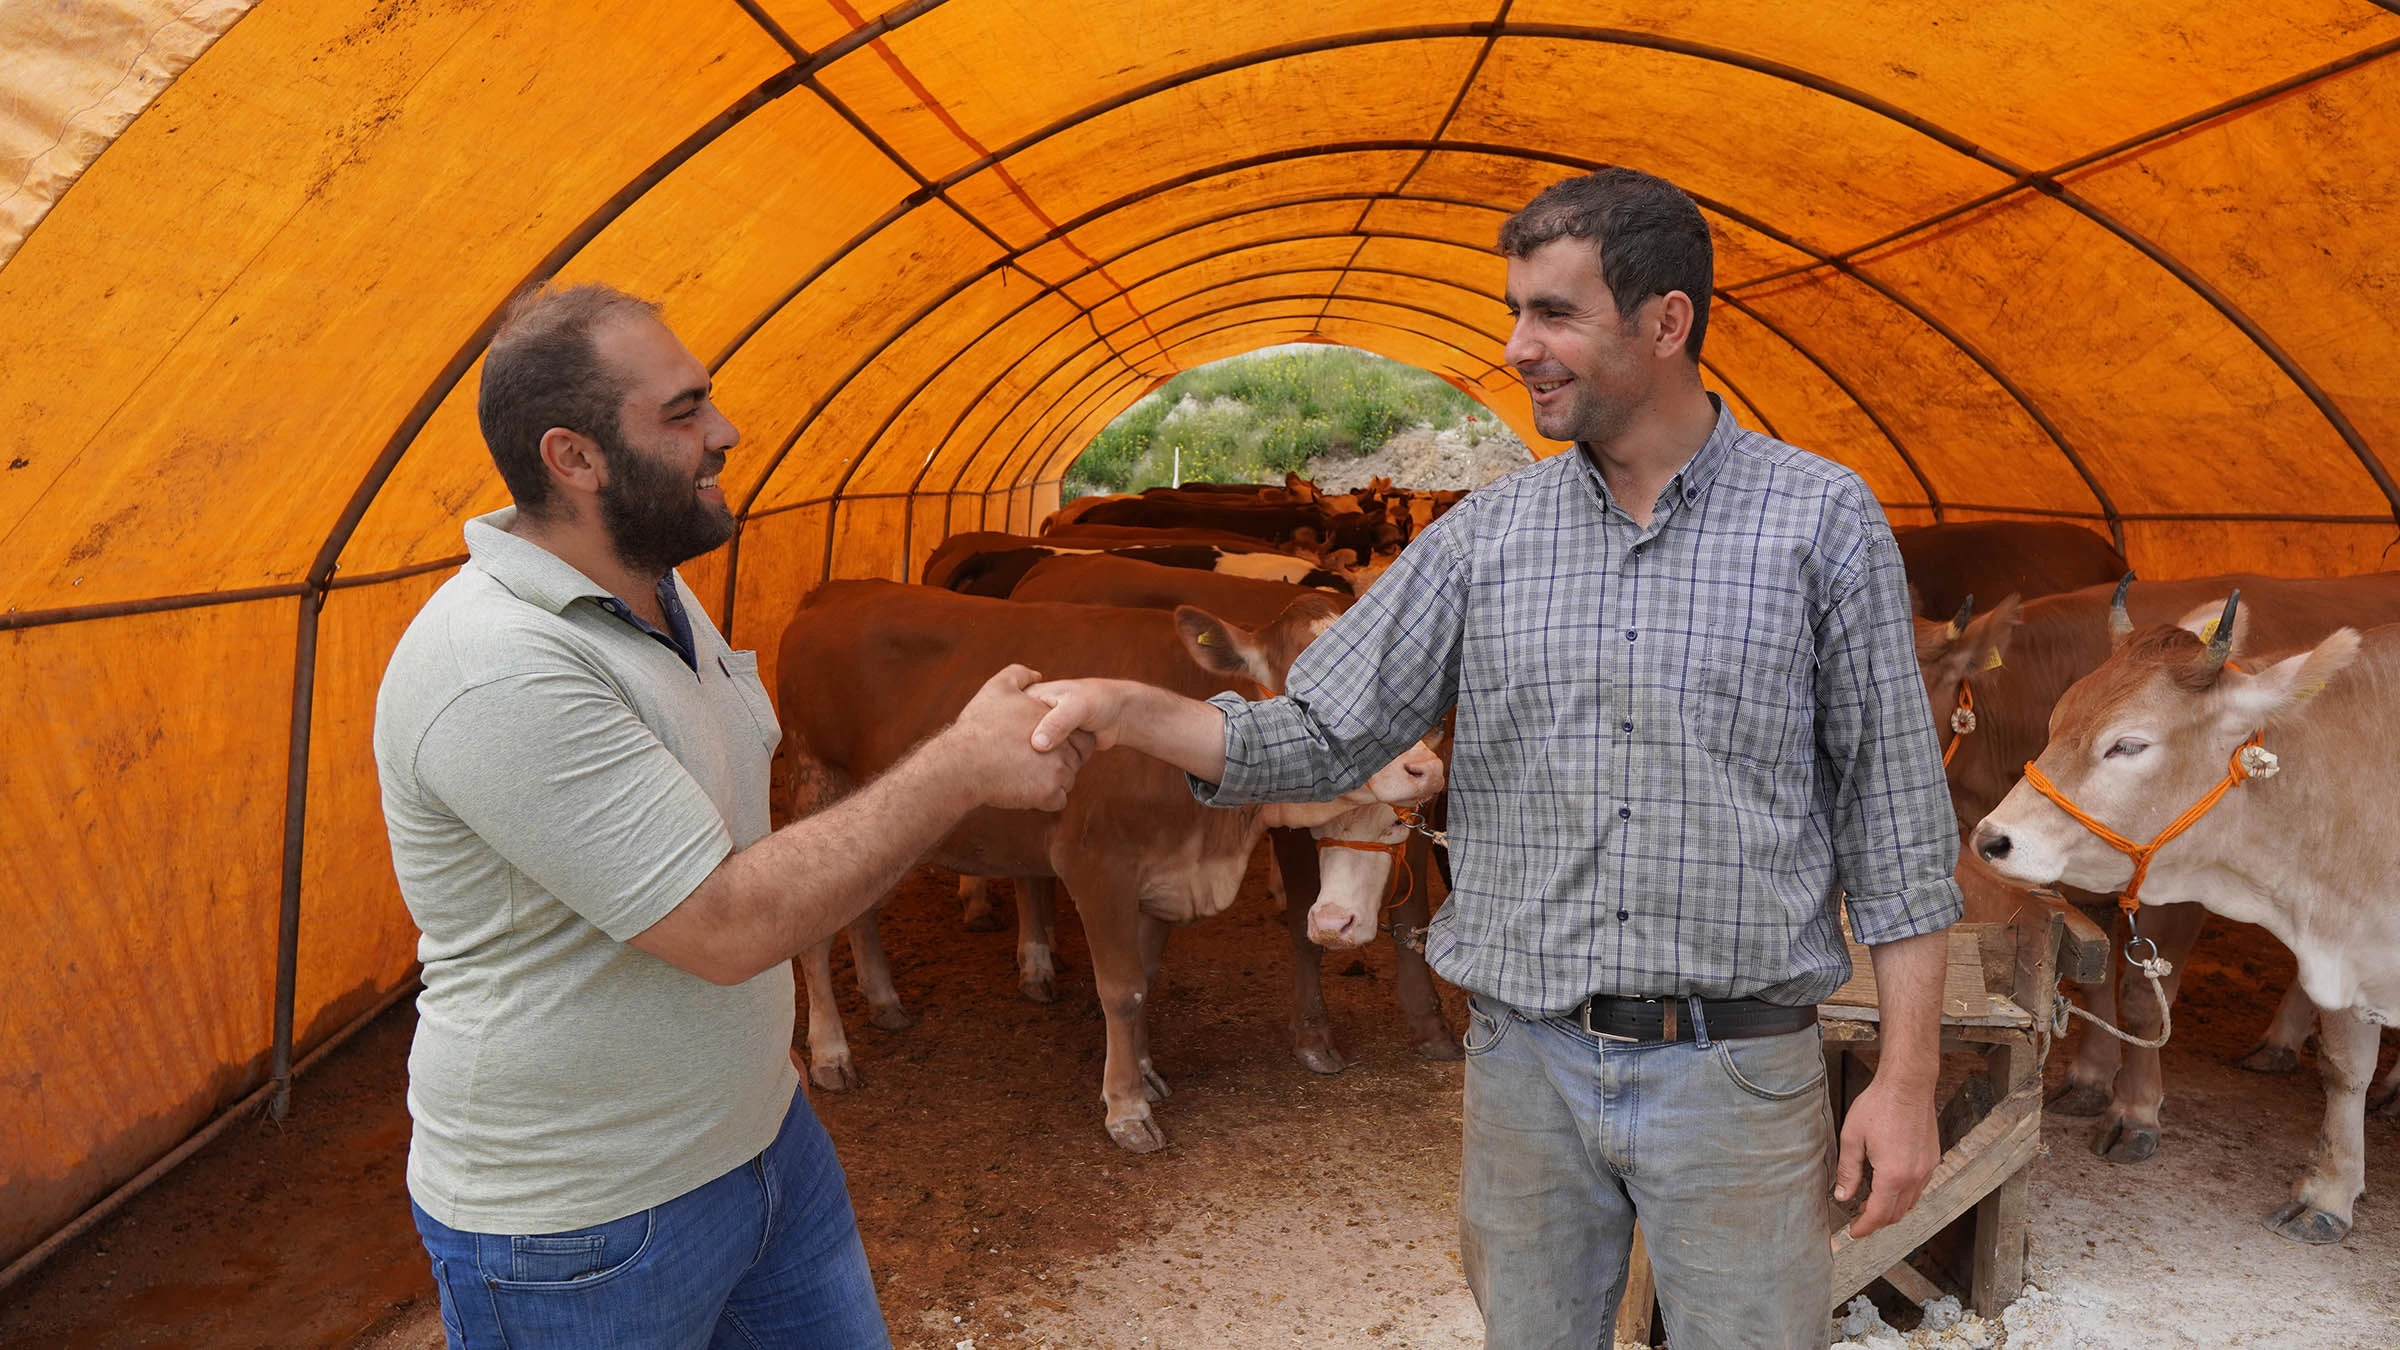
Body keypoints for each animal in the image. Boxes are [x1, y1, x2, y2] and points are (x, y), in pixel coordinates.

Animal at [768, 578, 1440, 1143]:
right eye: (1310, 688)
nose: (1423, 766)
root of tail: (840, 589)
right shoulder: (1096, 864)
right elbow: (1120, 988)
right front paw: (1127, 1108)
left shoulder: (1165, 875)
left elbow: (1146, 977)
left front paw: (1145, 1073)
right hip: (815, 783)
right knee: (813, 938)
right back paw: (831, 1052)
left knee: (858, 910)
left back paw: (884, 1002)